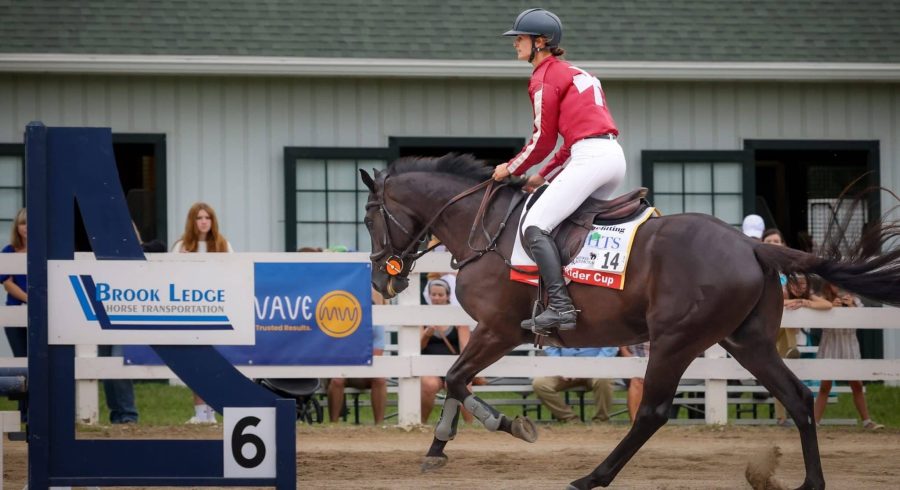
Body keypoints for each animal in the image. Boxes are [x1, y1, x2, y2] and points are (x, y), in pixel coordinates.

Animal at [359, 154, 900, 490]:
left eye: (369, 218)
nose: (382, 279)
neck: (485, 227)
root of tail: (751, 245)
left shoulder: (500, 330)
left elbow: (455, 377)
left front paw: (509, 424)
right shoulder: (493, 334)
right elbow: (456, 379)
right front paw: (439, 447)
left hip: (675, 341)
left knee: (653, 413)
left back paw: (592, 477)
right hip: (748, 343)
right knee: (799, 399)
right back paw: (811, 481)